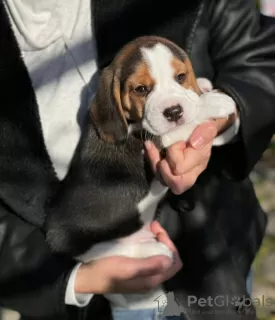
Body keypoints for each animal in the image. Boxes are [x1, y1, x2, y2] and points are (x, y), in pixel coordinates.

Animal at [46, 36, 236, 308]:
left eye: (180, 77)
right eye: (141, 89)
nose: (174, 112)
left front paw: (202, 87)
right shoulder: (158, 140)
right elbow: (188, 121)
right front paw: (211, 102)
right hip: (88, 243)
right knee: (101, 255)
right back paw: (156, 251)